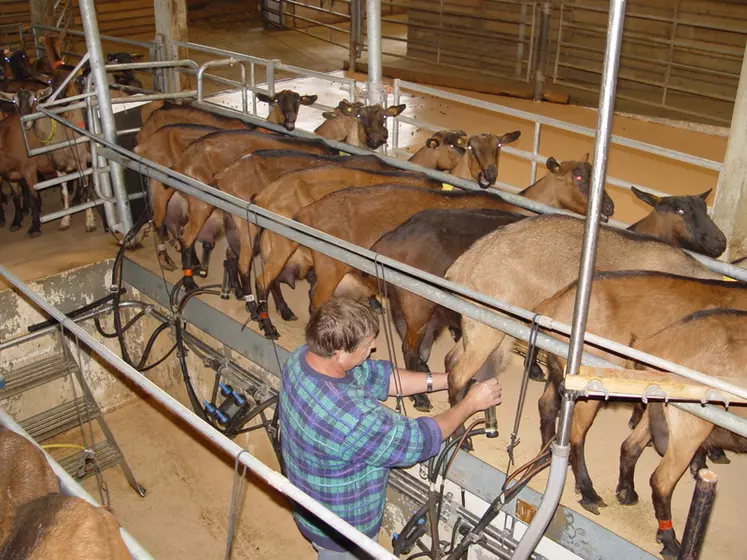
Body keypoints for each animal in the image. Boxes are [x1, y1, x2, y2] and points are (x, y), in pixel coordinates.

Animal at [612, 310, 747, 560]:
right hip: (690, 425)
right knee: (661, 480)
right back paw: (670, 542)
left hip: (656, 410)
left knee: (630, 446)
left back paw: (627, 493)